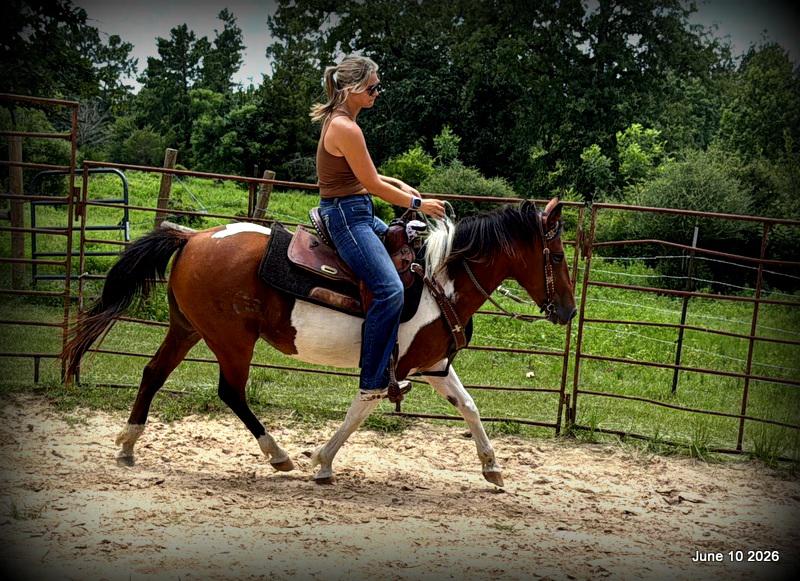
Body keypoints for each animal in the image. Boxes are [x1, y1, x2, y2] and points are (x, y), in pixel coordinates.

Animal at [61, 197, 576, 486]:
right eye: (555, 255)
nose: (569, 311)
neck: (439, 281)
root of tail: (193, 236)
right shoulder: (394, 366)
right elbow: (362, 407)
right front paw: (322, 462)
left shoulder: (433, 366)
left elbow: (469, 407)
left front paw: (492, 467)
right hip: (231, 339)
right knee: (231, 391)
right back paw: (279, 455)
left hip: (187, 328)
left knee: (153, 373)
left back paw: (128, 445)